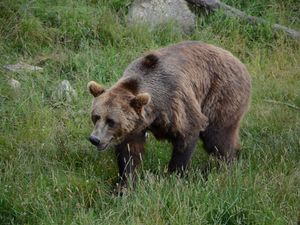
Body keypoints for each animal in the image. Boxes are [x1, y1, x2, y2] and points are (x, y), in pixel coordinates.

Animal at [87, 41, 251, 185]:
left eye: (111, 121)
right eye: (96, 117)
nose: (95, 139)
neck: (154, 111)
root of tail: (240, 63)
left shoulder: (175, 103)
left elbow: (187, 135)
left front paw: (174, 176)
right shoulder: (135, 126)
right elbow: (130, 152)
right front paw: (124, 184)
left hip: (221, 93)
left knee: (217, 137)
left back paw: (222, 167)